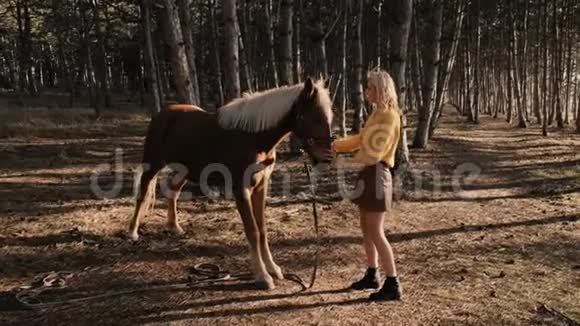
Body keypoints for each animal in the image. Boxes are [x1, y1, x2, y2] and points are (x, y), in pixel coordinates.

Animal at [129, 77, 334, 290]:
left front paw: (274, 269)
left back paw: (174, 226)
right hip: (153, 163)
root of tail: (162, 113)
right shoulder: (241, 190)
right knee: (143, 192)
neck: (253, 138)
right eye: (315, 117)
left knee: (173, 191)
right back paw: (132, 232)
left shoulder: (261, 187)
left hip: (185, 169)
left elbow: (262, 230)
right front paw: (263, 276)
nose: (326, 158)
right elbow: (252, 231)